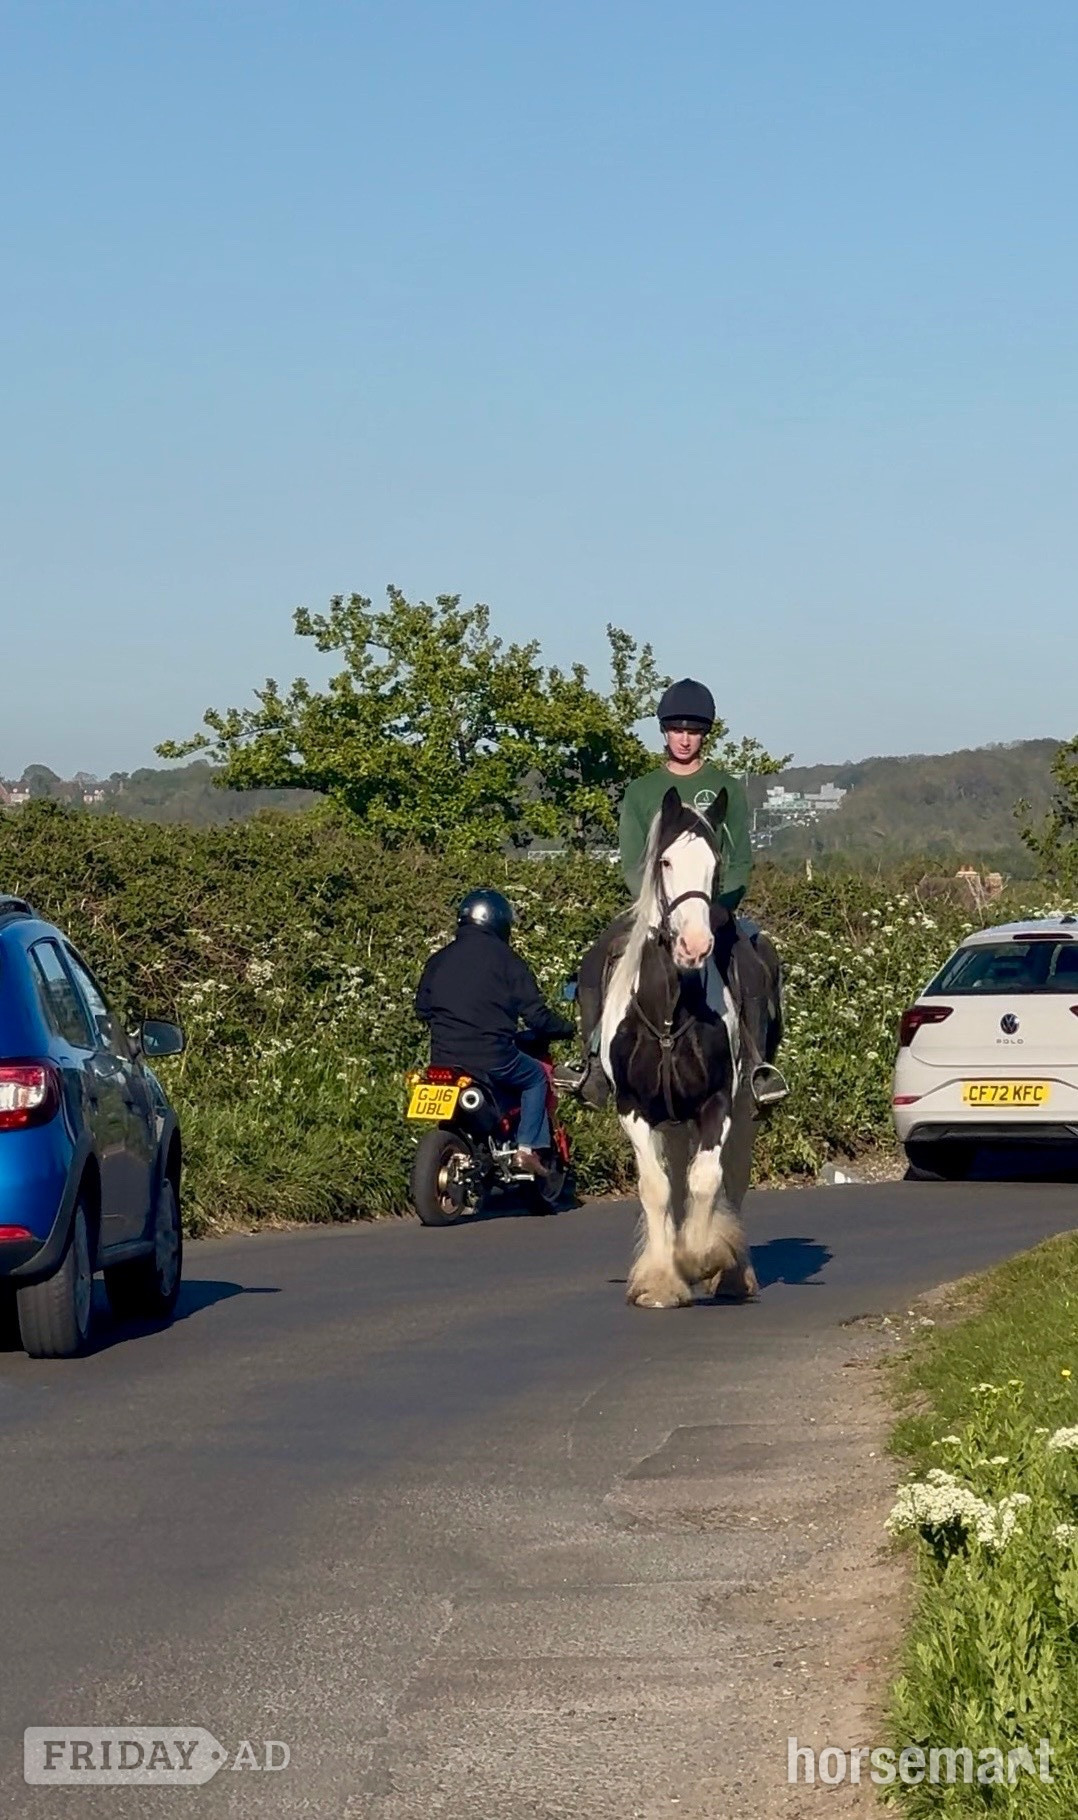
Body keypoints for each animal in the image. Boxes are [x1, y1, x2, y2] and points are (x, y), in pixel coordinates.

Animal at [599, 785, 781, 1310]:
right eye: (664, 862)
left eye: (714, 865)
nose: (695, 946)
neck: (668, 1014)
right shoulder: (633, 1107)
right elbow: (657, 1188)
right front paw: (661, 1280)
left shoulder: (716, 1103)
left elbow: (707, 1181)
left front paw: (701, 1257)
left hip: (741, 1111)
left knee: (731, 1179)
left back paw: (734, 1273)